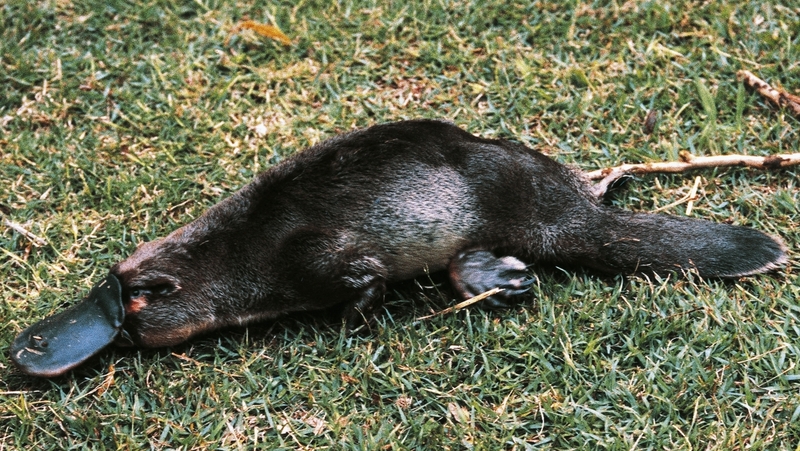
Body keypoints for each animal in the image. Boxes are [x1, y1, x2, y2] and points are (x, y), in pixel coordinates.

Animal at [11, 119, 788, 377]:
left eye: (138, 299)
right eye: (111, 277)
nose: (27, 350)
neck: (236, 252)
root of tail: (577, 217)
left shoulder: (309, 253)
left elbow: (360, 275)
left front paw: (358, 314)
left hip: (527, 217)